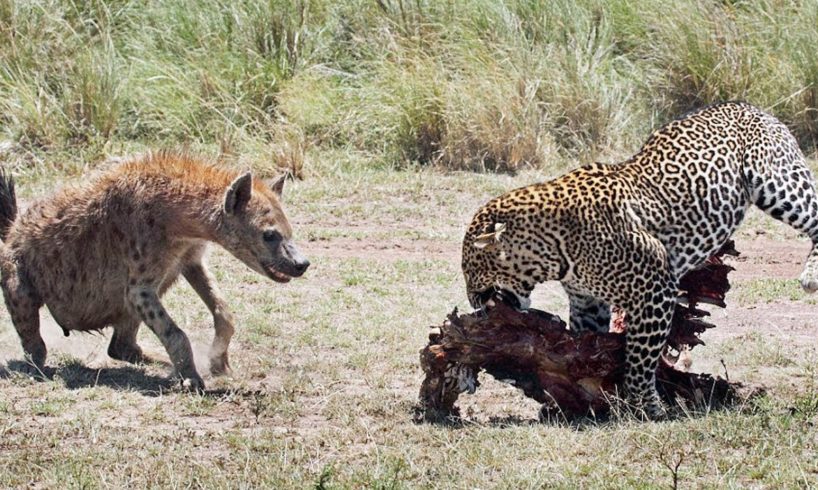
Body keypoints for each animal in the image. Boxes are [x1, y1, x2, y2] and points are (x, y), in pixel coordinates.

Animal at [462, 102, 818, 418]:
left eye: (470, 271)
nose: (473, 303)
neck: (552, 248)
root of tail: (753, 107)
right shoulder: (587, 302)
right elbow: (582, 347)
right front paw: (581, 395)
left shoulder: (654, 290)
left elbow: (640, 359)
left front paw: (646, 407)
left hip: (777, 183)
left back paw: (811, 275)